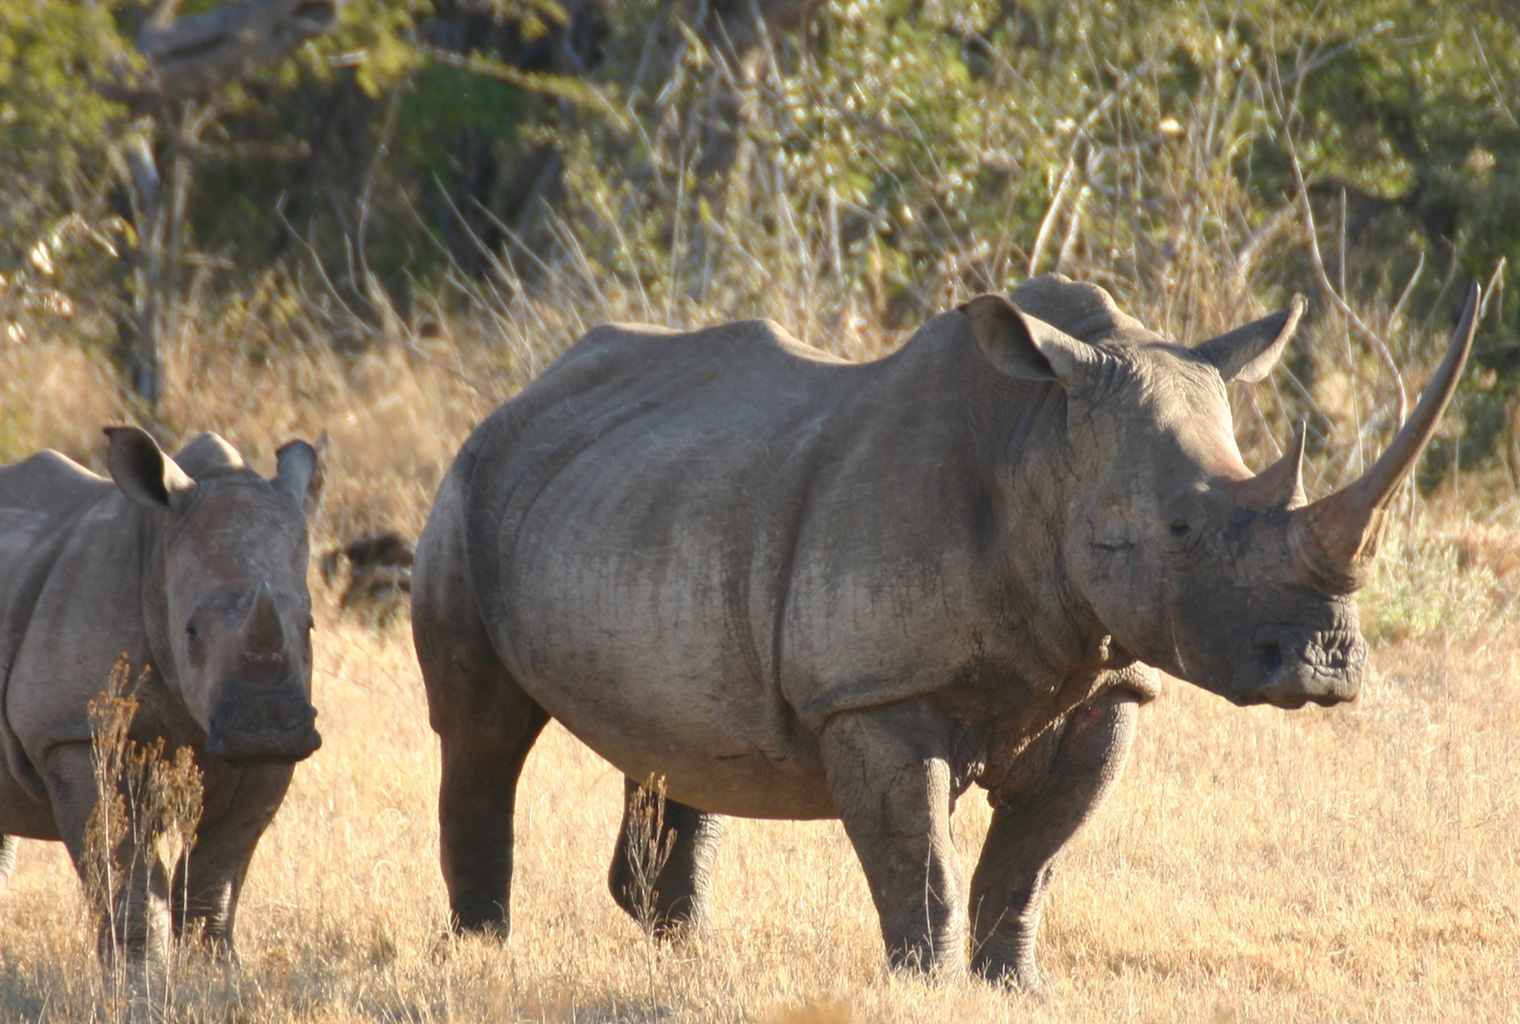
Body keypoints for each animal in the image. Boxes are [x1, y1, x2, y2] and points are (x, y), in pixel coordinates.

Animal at [0, 422, 320, 960]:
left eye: (310, 627)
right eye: (189, 632)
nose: (266, 729)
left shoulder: (272, 761)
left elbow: (215, 878)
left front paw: (217, 974)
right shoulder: (72, 732)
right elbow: (126, 880)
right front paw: (138, 977)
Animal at [413, 274, 1471, 984]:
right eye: (1179, 530)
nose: (1324, 666)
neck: (1037, 445)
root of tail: (522, 394)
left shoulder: (1109, 685)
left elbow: (1029, 864)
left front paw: (1016, 989)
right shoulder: (875, 693)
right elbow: (920, 866)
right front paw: (921, 987)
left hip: (648, 498)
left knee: (680, 742)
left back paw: (688, 959)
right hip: (466, 486)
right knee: (482, 732)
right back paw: (482, 958)